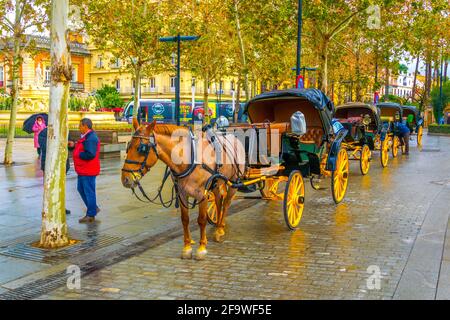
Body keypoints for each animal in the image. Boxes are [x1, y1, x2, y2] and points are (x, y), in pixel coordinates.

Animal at [121, 119, 244, 258]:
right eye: (128, 146)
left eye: (141, 149)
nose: (125, 179)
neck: (190, 159)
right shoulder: (182, 194)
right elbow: (185, 219)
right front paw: (187, 248)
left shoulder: (202, 195)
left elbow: (201, 220)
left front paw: (201, 248)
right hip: (216, 183)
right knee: (218, 200)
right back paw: (218, 226)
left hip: (234, 181)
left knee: (226, 203)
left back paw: (220, 229)